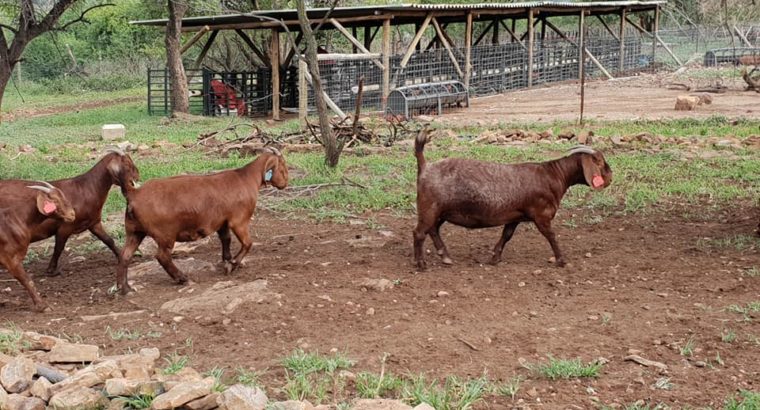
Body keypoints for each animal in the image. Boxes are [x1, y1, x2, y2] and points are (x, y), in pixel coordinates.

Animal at [0, 148, 140, 276]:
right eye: (127, 164)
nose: (138, 176)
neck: (86, 189)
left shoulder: (94, 223)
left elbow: (108, 240)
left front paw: (124, 257)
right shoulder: (65, 227)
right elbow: (58, 248)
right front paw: (51, 270)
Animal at [0, 182, 76, 311]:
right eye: (55, 200)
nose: (72, 214)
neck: (16, 218)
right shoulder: (11, 259)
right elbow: (27, 280)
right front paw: (42, 306)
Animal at [115, 147, 288, 294]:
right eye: (283, 166)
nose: (285, 183)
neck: (246, 177)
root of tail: (134, 193)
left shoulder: (222, 222)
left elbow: (226, 239)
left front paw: (227, 260)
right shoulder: (238, 221)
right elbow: (247, 243)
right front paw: (233, 264)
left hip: (135, 231)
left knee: (125, 255)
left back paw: (124, 288)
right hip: (165, 233)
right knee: (162, 256)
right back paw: (182, 278)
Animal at [413, 129, 612, 270]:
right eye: (600, 161)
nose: (610, 177)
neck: (554, 175)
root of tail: (425, 167)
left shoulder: (515, 216)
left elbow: (507, 235)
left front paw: (495, 257)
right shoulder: (541, 215)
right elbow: (551, 235)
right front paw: (561, 260)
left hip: (440, 211)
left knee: (433, 229)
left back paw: (445, 256)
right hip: (430, 207)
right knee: (419, 232)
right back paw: (421, 263)